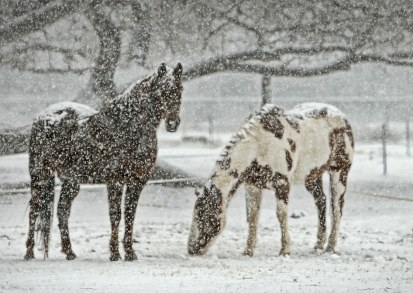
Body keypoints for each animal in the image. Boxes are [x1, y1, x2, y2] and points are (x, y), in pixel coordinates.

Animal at [23, 62, 182, 260]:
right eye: (162, 91)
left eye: (179, 89)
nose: (173, 123)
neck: (127, 127)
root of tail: (43, 116)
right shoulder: (115, 181)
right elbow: (116, 215)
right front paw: (114, 253)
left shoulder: (137, 182)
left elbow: (130, 215)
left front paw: (130, 253)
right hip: (40, 175)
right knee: (35, 210)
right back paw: (29, 252)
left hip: (71, 182)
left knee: (62, 211)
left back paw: (69, 252)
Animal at [188, 102, 352, 256]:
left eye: (205, 215)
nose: (191, 249)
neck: (259, 145)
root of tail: (342, 117)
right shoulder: (253, 186)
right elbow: (253, 217)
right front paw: (248, 251)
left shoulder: (282, 184)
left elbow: (281, 215)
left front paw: (285, 250)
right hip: (312, 177)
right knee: (321, 202)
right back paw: (318, 246)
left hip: (339, 172)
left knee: (337, 209)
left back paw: (330, 247)